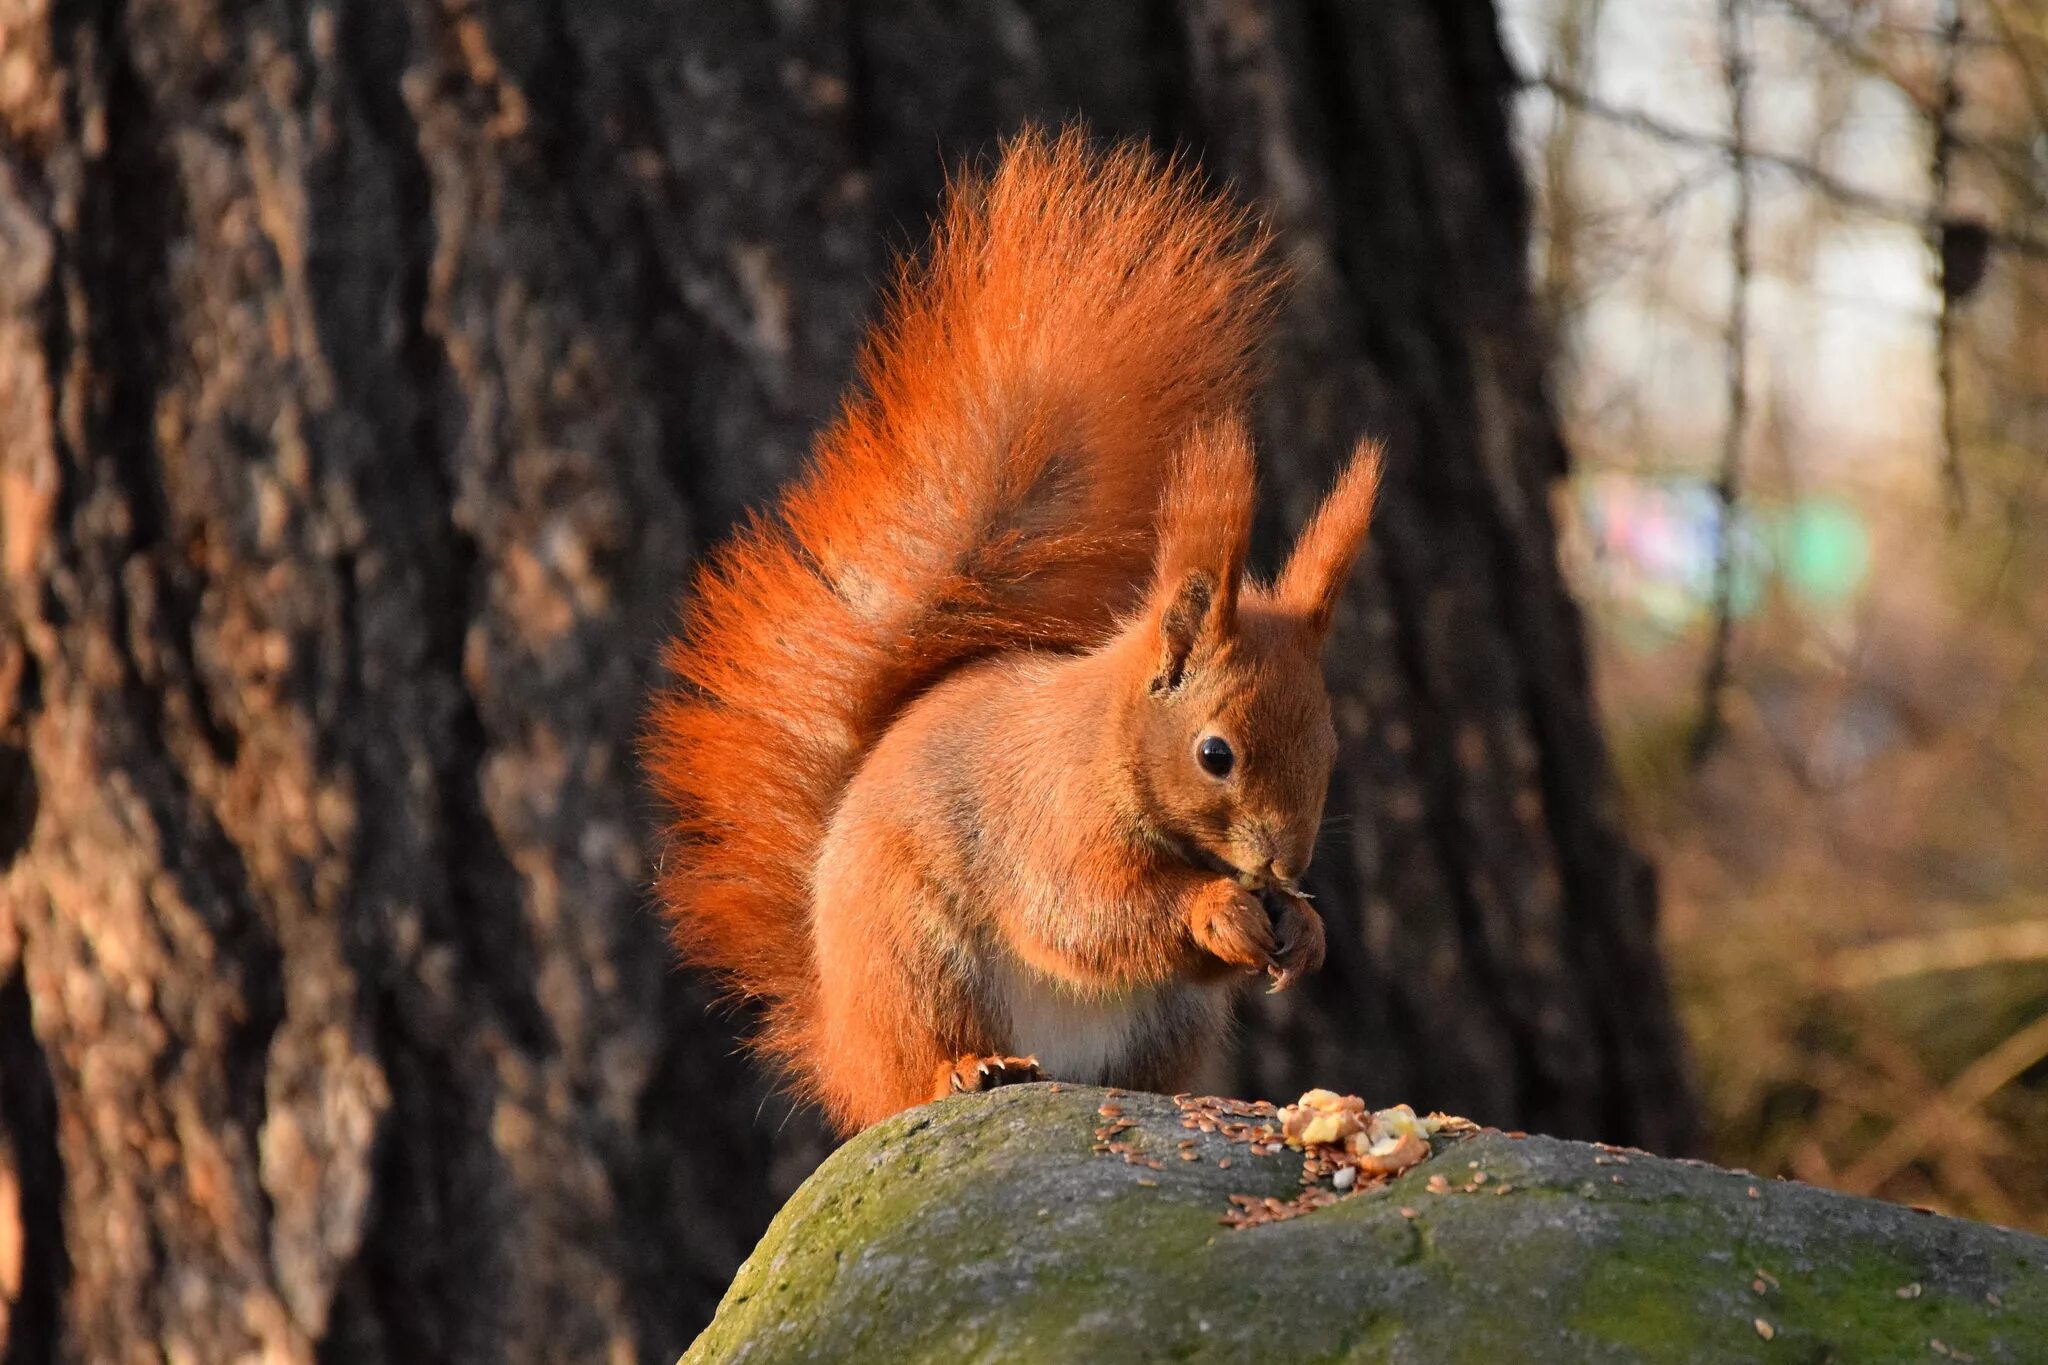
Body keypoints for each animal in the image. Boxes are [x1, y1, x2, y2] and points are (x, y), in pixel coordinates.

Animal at [647, 127, 1384, 1137]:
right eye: (1216, 754)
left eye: (1332, 747)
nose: (1282, 866)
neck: (1110, 743)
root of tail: (842, 1044)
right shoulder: (1047, 820)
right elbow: (1086, 916)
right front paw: (1217, 912)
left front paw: (1303, 927)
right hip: (918, 958)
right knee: (924, 1061)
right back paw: (973, 1066)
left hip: (1165, 1025)